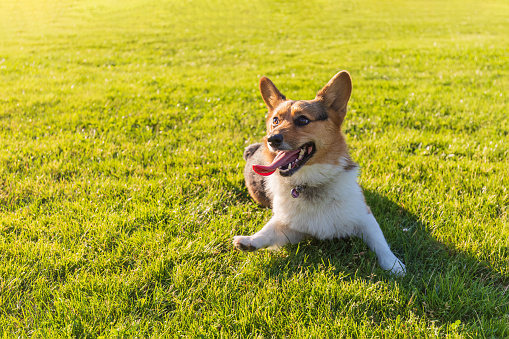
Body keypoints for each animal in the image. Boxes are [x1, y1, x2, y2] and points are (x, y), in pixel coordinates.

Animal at [233, 71, 404, 276]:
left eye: (303, 120)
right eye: (275, 121)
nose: (271, 139)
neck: (310, 182)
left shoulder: (365, 217)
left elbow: (380, 241)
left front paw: (393, 264)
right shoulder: (292, 228)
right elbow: (269, 230)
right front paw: (250, 240)